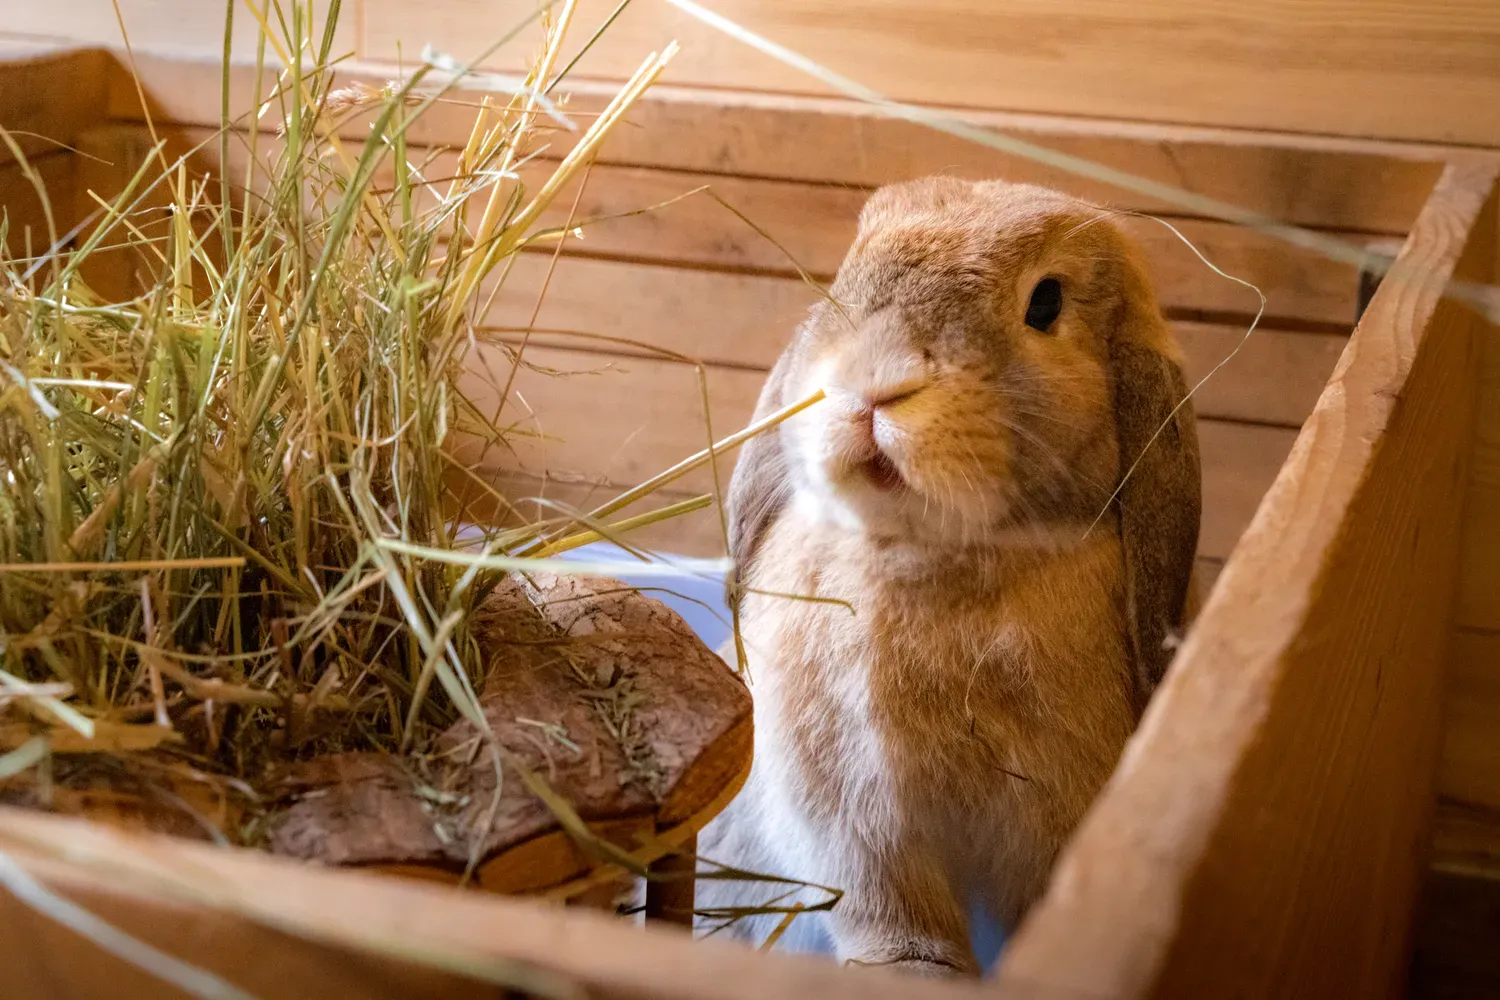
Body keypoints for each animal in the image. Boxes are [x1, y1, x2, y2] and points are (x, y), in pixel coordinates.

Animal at [692, 176, 1202, 977]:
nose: (873, 386)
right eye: (849, 270)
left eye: (1045, 303)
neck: (931, 552)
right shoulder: (857, 810)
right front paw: (910, 972)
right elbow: (888, 907)